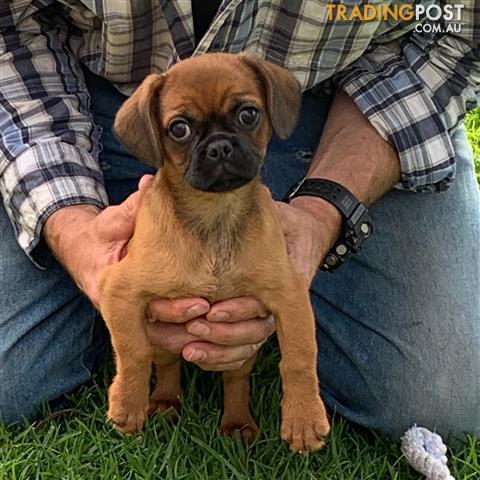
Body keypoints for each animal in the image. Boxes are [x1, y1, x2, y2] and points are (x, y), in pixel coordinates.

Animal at [97, 53, 330, 454]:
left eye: (249, 115)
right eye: (178, 129)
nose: (220, 146)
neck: (215, 215)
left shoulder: (289, 296)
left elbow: (300, 357)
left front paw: (303, 418)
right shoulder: (120, 292)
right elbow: (133, 350)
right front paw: (128, 404)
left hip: (241, 353)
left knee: (235, 380)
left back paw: (237, 424)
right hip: (168, 341)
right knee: (168, 363)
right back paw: (164, 402)